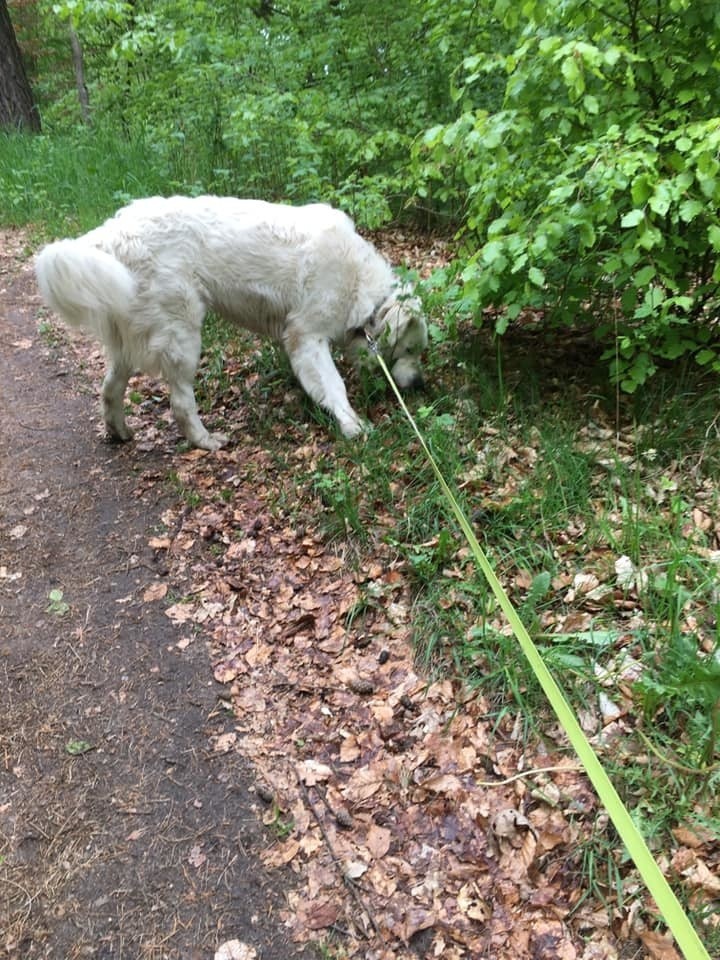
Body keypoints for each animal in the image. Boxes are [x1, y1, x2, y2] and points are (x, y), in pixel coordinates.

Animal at [35, 197, 428, 452]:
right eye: (408, 349)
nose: (421, 385)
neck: (361, 284)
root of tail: (114, 233)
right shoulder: (307, 337)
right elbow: (334, 386)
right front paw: (352, 425)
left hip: (131, 338)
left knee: (109, 388)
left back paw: (119, 432)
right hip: (181, 334)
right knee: (180, 402)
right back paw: (206, 441)